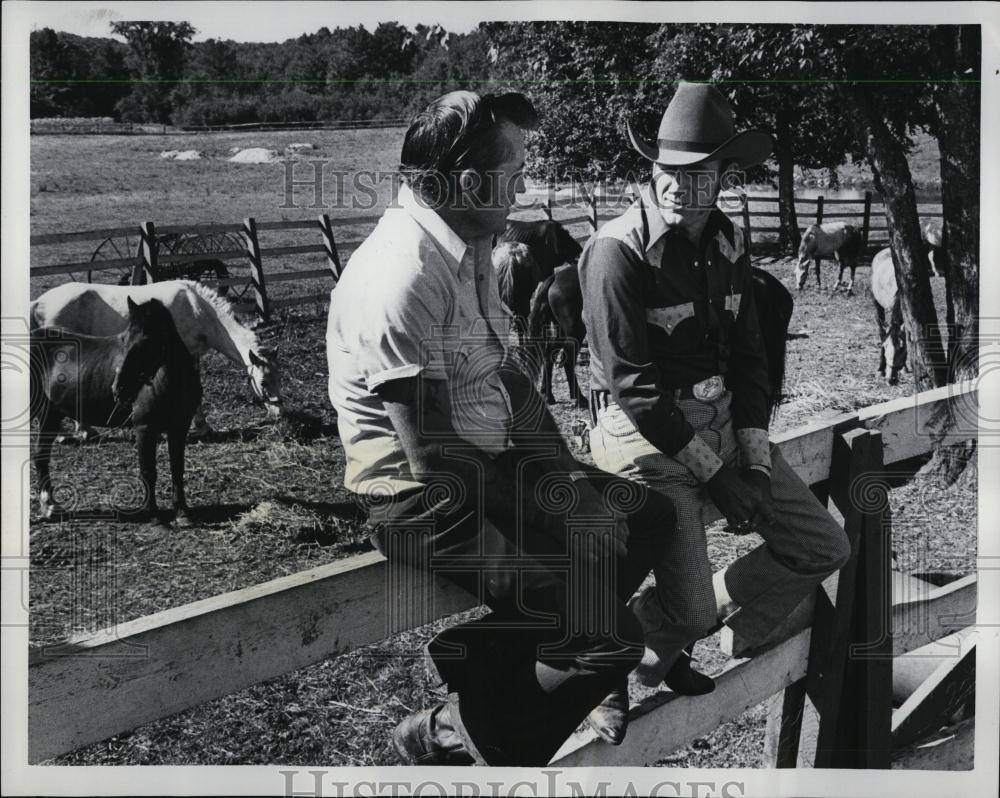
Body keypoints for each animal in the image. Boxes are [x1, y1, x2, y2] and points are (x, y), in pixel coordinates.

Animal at [30, 282, 282, 440]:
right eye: (263, 383)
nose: (279, 414)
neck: (197, 308)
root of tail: (40, 301)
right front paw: (201, 427)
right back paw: (79, 431)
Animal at [30, 296, 201, 528]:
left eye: (148, 342)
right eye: (124, 340)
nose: (118, 389)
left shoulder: (179, 428)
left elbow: (177, 468)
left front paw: (182, 513)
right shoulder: (145, 428)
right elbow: (148, 471)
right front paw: (154, 515)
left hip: (50, 414)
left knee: (41, 456)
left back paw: (50, 506)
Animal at [872, 250, 912, 388]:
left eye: (901, 348)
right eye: (885, 346)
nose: (891, 379)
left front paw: (904, 368)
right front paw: (880, 369)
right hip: (876, 303)